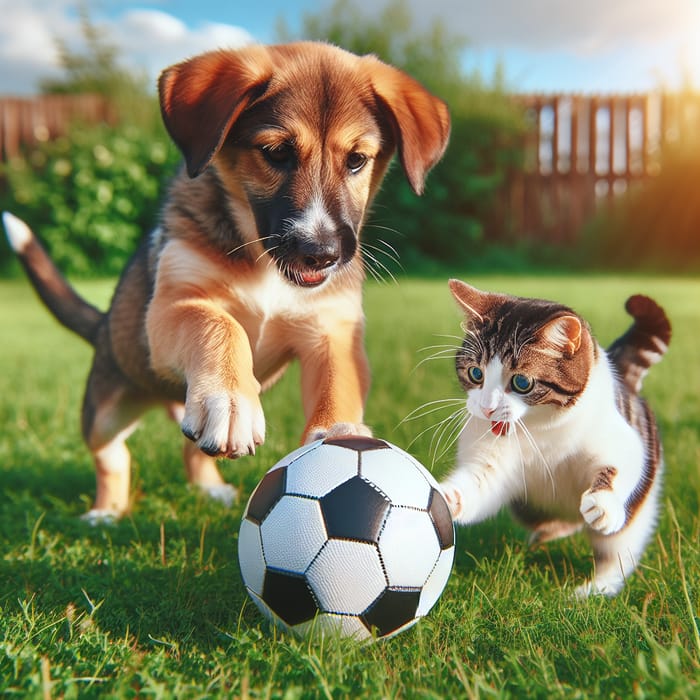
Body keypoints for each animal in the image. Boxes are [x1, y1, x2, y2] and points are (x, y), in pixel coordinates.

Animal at [2, 39, 452, 520]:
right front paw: (231, 399)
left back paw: (208, 487)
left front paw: (339, 431)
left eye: (356, 161)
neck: (265, 265)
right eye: (276, 152)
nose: (322, 253)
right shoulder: (172, 306)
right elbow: (217, 323)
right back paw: (108, 510)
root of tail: (104, 325)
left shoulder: (333, 329)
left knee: (193, 445)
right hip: (105, 405)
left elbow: (339, 383)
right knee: (111, 455)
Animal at [438, 278, 672, 596]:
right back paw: (547, 533)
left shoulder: (621, 440)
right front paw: (445, 497)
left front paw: (602, 503)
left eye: (521, 382)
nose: (487, 408)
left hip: (636, 509)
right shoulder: (491, 463)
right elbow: (479, 486)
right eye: (476, 374)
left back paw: (593, 591)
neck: (539, 429)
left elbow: (619, 464)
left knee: (619, 553)